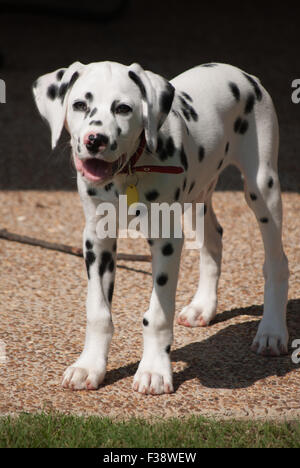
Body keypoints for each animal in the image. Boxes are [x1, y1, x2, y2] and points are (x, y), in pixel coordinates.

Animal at [32, 59, 288, 394]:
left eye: (123, 108)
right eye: (79, 105)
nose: (95, 141)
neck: (129, 172)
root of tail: (240, 74)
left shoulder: (166, 242)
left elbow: (157, 316)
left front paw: (153, 370)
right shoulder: (97, 241)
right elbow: (98, 311)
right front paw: (89, 366)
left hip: (262, 189)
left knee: (277, 262)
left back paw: (272, 331)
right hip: (197, 197)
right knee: (213, 240)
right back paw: (203, 307)